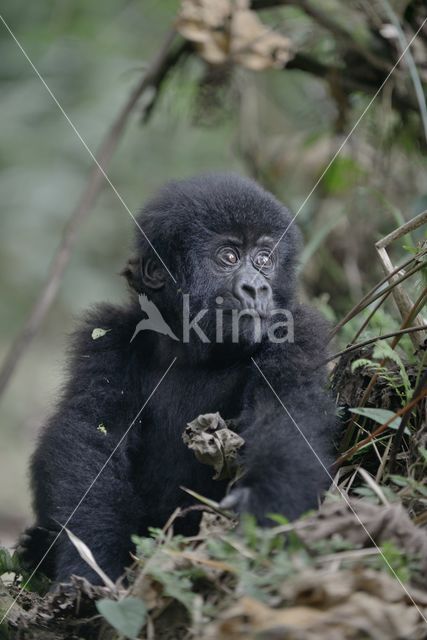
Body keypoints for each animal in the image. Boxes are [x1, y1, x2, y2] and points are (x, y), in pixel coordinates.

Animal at [21, 174, 338, 584]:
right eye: (229, 257)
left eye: (264, 260)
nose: (257, 287)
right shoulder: (105, 336)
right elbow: (90, 434)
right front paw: (89, 565)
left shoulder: (297, 331)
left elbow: (289, 415)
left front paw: (263, 512)